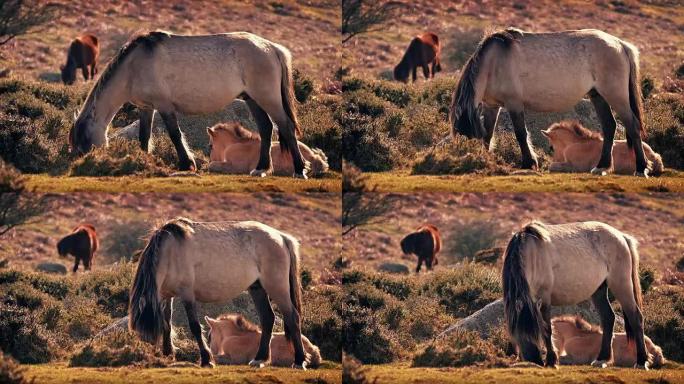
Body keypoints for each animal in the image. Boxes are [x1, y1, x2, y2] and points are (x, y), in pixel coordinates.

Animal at [70, 30, 308, 178]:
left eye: (83, 142)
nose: (83, 165)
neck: (133, 66)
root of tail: (271, 48)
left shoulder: (164, 106)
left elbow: (175, 135)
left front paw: (187, 164)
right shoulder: (147, 108)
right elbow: (144, 136)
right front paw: (142, 162)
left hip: (267, 98)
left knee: (285, 127)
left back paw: (299, 170)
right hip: (253, 99)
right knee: (266, 128)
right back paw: (261, 169)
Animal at [127, 216, 308, 368]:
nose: (148, 356)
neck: (170, 252)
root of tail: (281, 237)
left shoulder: (187, 295)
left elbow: (194, 326)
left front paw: (206, 360)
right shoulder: (167, 296)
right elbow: (167, 322)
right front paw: (168, 352)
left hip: (277, 288)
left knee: (292, 317)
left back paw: (299, 361)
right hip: (258, 288)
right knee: (267, 318)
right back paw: (259, 359)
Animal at [448, 28, 652, 177]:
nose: (467, 161)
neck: (494, 62)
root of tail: (620, 45)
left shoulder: (514, 104)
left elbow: (520, 134)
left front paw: (529, 163)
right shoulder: (492, 106)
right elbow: (488, 134)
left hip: (616, 96)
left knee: (632, 126)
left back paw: (641, 168)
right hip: (598, 96)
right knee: (609, 126)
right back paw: (601, 167)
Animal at [500, 222, 648, 368]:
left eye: (535, 331)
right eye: (517, 331)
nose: (534, 360)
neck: (532, 253)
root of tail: (622, 237)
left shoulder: (545, 299)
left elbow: (547, 329)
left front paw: (551, 361)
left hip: (621, 285)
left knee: (636, 318)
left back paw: (642, 361)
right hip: (599, 290)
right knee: (608, 318)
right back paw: (602, 359)